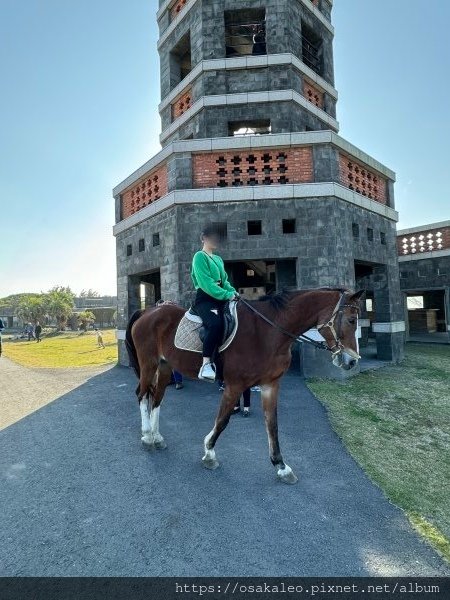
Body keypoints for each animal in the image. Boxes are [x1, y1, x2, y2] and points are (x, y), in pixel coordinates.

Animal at [125, 288, 364, 482]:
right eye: (352, 320)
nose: (352, 361)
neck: (267, 332)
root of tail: (147, 312)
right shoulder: (234, 386)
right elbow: (222, 421)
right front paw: (209, 454)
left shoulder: (270, 386)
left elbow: (272, 424)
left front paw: (281, 466)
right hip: (148, 363)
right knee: (141, 394)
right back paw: (147, 436)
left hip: (165, 366)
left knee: (156, 398)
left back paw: (157, 437)